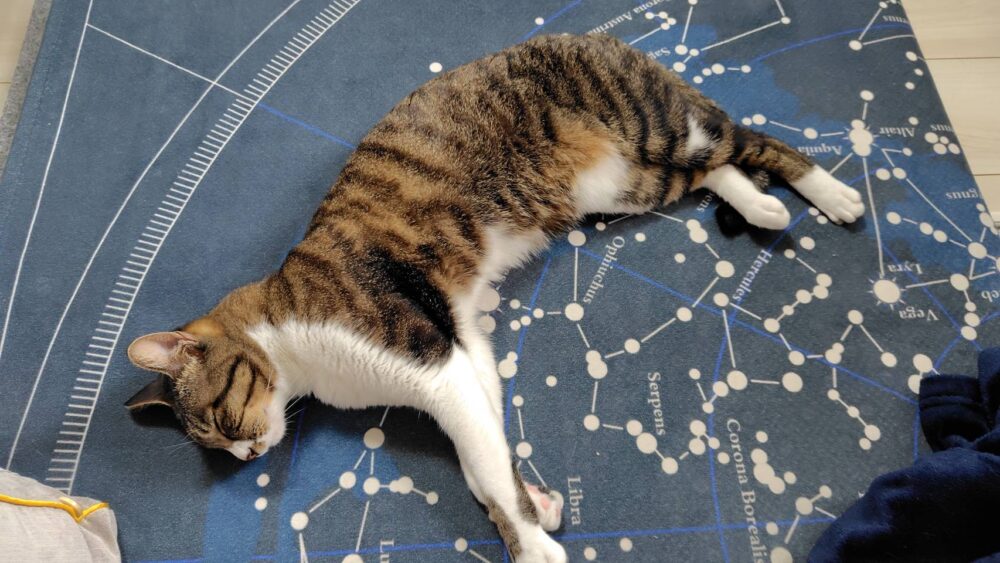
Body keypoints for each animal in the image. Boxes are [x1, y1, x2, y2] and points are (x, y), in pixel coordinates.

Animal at [124, 33, 864, 562]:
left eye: (217, 420)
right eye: (215, 442)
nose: (246, 457)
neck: (290, 338)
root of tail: (589, 35)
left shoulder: (429, 361)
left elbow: (481, 459)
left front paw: (531, 546)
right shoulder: (465, 352)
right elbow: (490, 462)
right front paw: (534, 506)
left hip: (650, 127)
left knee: (750, 141)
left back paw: (833, 194)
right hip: (621, 185)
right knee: (713, 170)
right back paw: (762, 207)